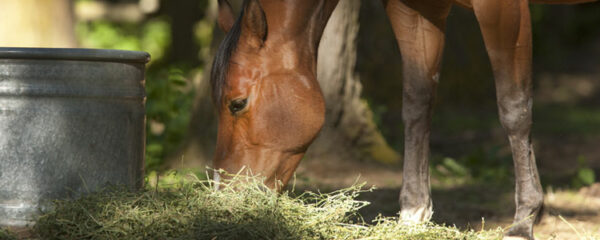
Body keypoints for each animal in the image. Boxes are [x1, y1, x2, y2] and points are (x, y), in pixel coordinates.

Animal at [211, 0, 596, 239]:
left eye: (237, 104)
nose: (223, 198)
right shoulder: (416, 10)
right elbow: (416, 104)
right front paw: (413, 213)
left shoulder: (502, 10)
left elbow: (513, 108)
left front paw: (523, 222)